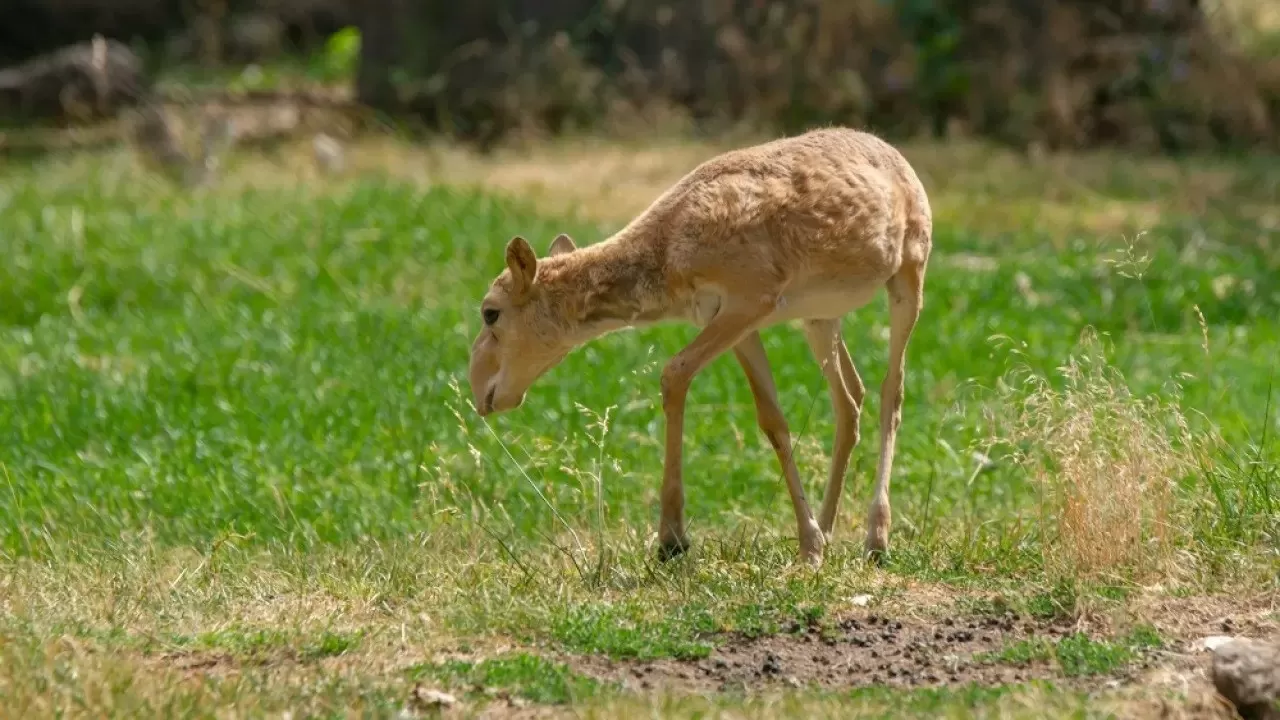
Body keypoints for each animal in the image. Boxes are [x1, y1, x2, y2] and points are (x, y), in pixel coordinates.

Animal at [468, 122, 931, 563]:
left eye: (490, 312)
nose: (479, 392)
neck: (670, 247)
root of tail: (895, 155)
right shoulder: (736, 320)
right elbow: (773, 419)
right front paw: (810, 542)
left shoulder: (749, 301)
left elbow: (673, 373)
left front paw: (671, 540)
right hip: (819, 317)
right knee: (850, 398)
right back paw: (831, 526)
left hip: (910, 276)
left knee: (892, 392)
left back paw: (877, 540)